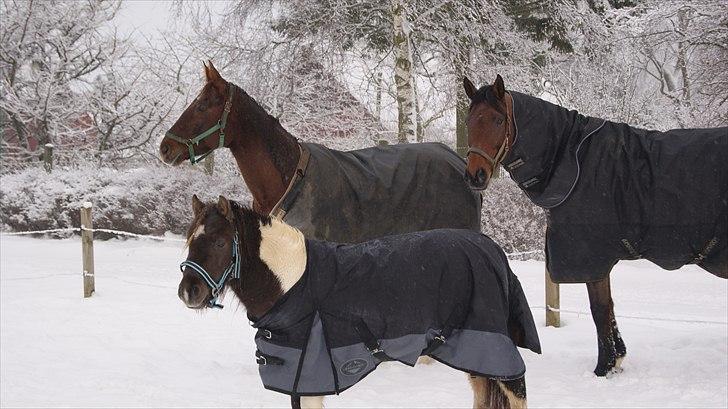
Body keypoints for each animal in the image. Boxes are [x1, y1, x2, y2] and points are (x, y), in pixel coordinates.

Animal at [464, 75, 724, 376]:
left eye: (497, 120)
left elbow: (599, 309)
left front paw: (604, 367)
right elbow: (608, 308)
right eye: (469, 121)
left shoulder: (591, 257)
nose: (475, 175)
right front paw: (617, 360)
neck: (574, 160)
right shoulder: (598, 259)